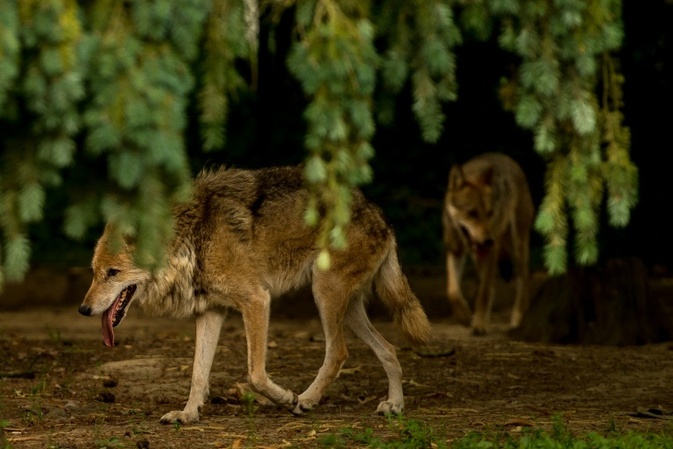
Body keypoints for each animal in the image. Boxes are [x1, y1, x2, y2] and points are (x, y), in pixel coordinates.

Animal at [78, 165, 432, 424]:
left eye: (113, 273)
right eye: (94, 272)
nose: (83, 310)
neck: (193, 240)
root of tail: (379, 214)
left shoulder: (257, 301)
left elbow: (255, 374)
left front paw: (286, 398)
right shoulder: (210, 312)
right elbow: (197, 373)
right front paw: (189, 414)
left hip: (324, 293)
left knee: (338, 352)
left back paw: (305, 400)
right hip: (347, 308)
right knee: (388, 349)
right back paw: (394, 405)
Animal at [442, 153, 534, 335]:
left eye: (489, 213)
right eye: (472, 213)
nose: (489, 240)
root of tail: (509, 160)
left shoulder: (491, 252)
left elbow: (483, 292)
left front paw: (479, 324)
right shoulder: (455, 250)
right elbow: (453, 291)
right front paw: (464, 316)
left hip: (517, 248)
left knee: (522, 282)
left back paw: (517, 318)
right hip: (481, 256)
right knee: (493, 286)